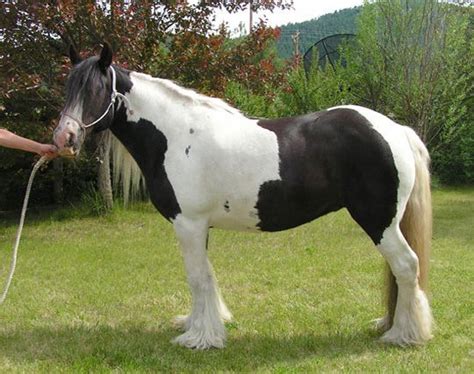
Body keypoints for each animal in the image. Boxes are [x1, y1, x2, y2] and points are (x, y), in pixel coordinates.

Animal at [52, 44, 434, 350]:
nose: (63, 137)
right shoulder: (199, 226)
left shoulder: (188, 223)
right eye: (68, 87)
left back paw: (403, 335)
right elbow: (204, 275)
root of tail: (395, 130)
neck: (176, 136)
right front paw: (201, 325)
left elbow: (197, 277)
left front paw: (199, 338)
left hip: (379, 221)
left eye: (95, 88)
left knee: (405, 266)